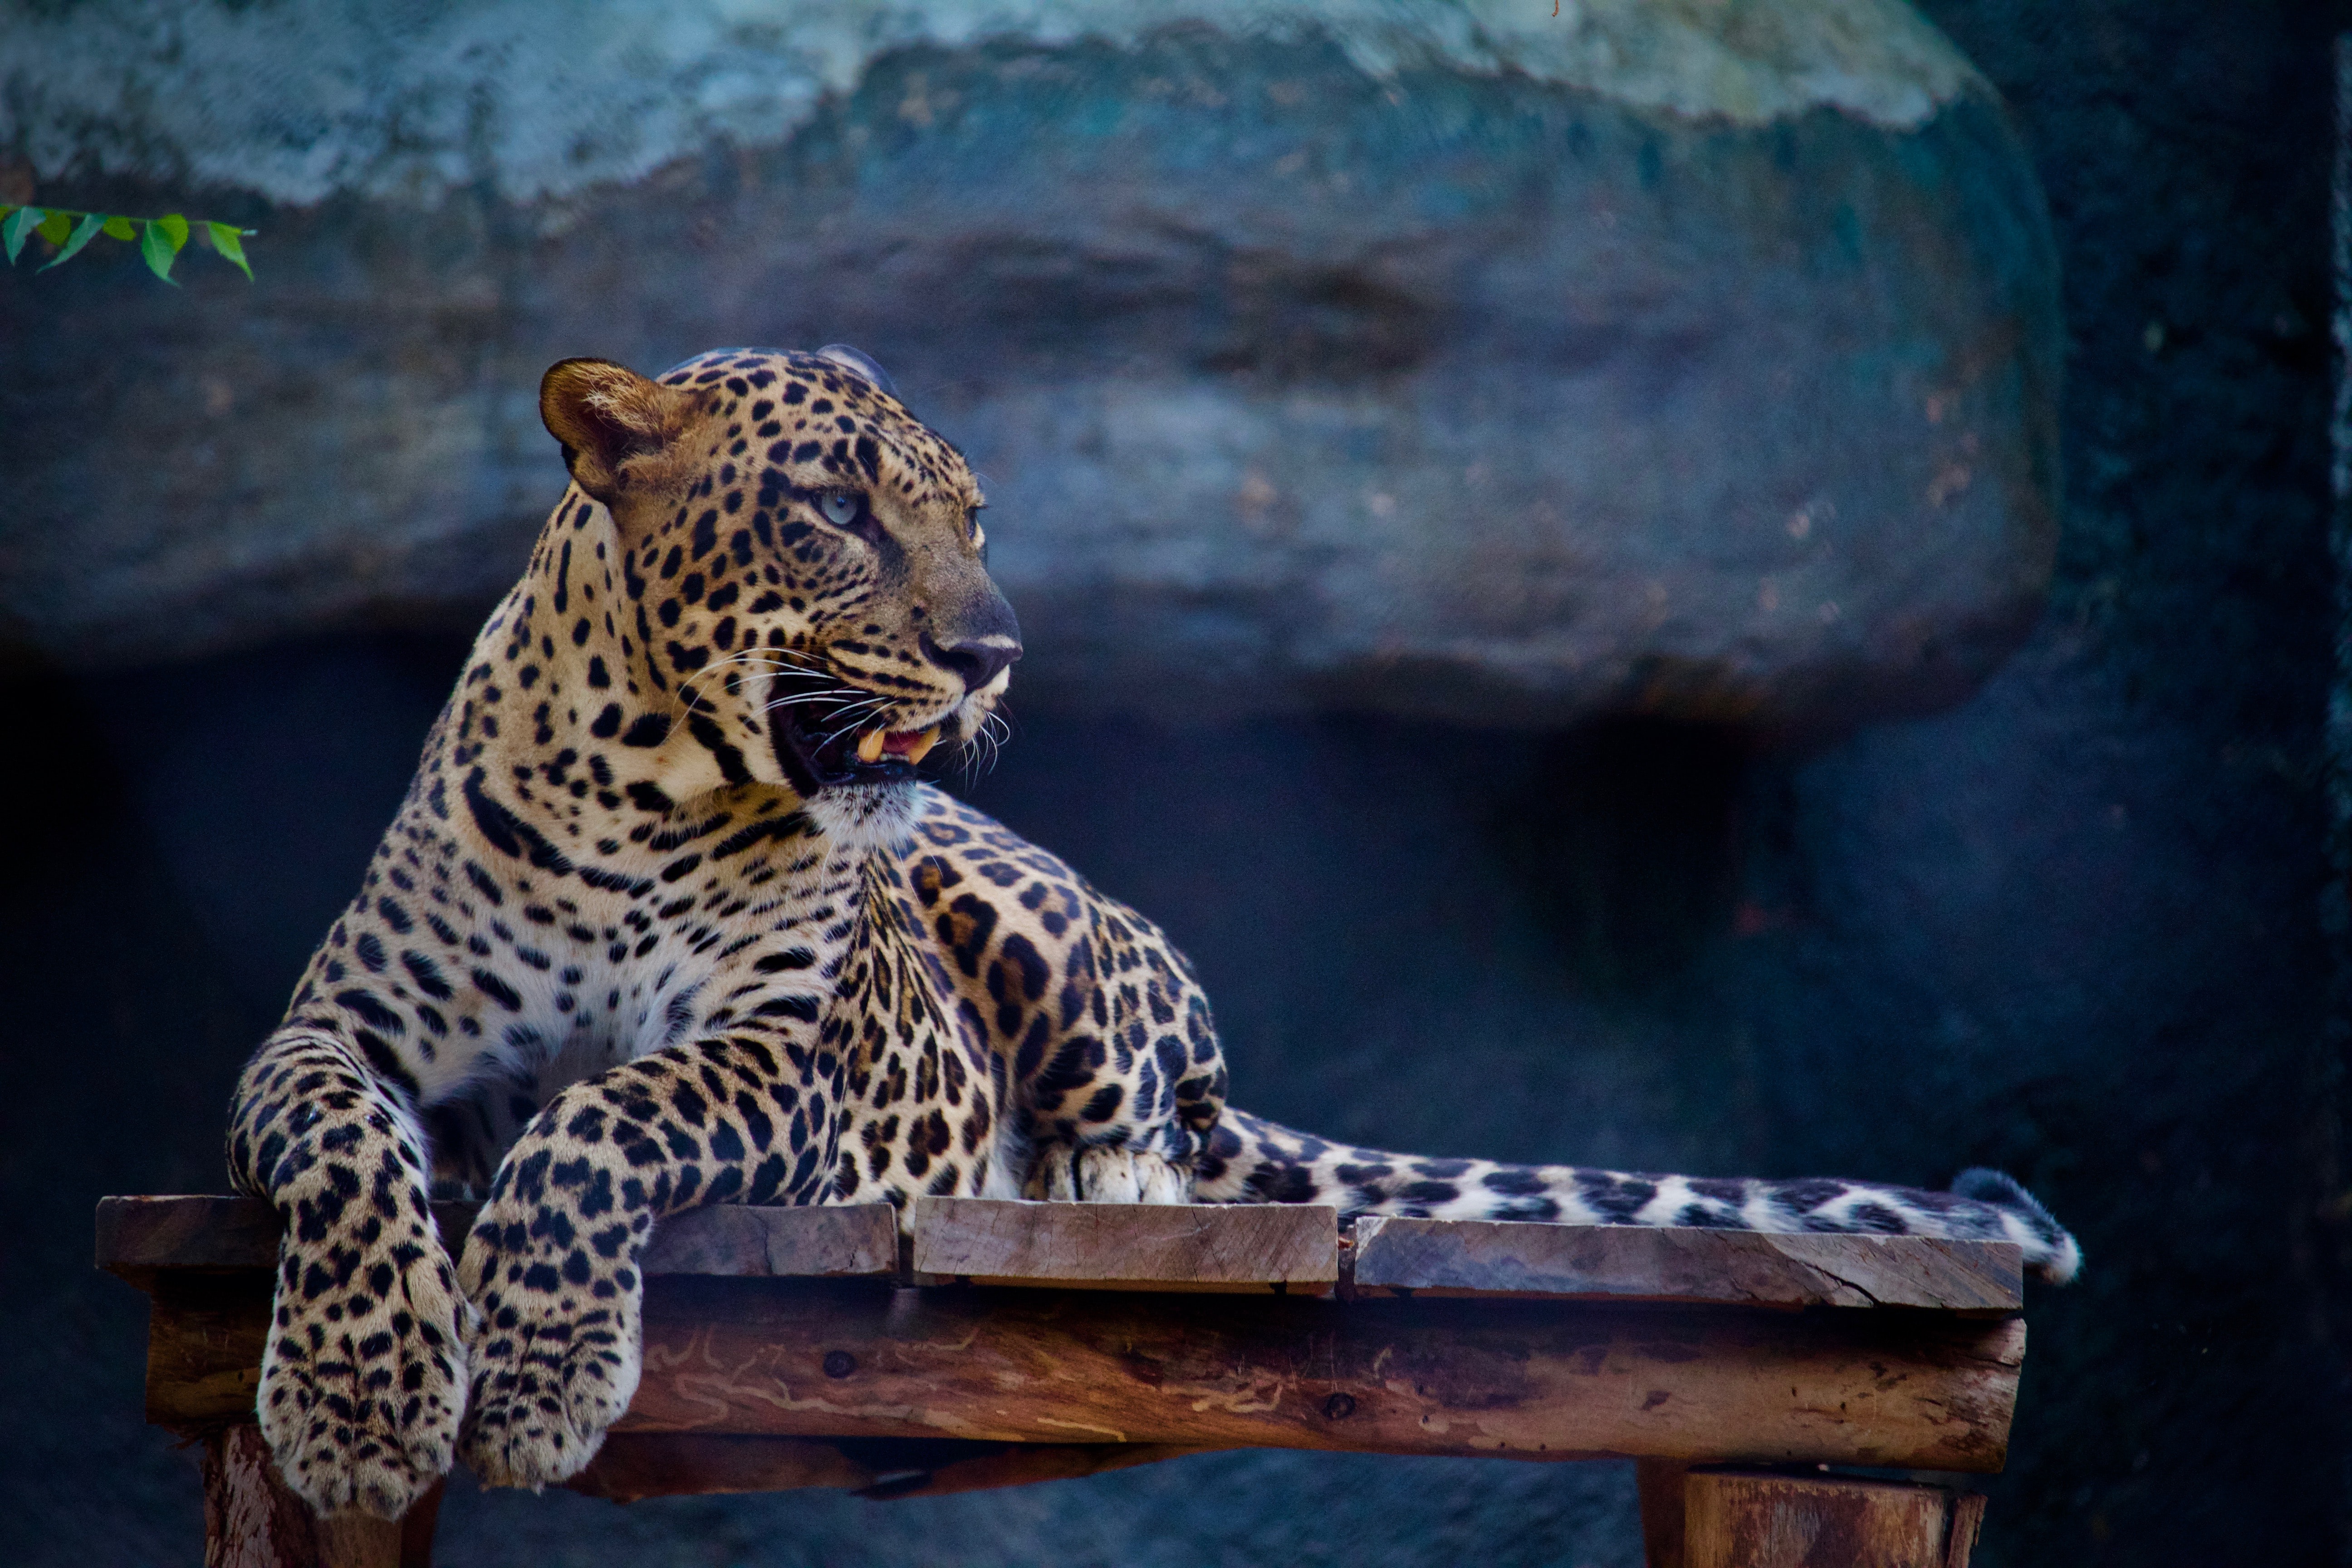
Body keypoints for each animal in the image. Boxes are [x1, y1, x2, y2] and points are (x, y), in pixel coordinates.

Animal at [234, 341, 2079, 1523]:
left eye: (971, 518)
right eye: (835, 508)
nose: (993, 651)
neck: (641, 780)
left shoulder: (784, 1055)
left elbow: (598, 1122)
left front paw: (536, 1385)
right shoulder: (334, 1029)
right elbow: (344, 1148)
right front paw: (358, 1409)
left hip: (1044, 927)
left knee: (1161, 1124)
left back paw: (1085, 1182)